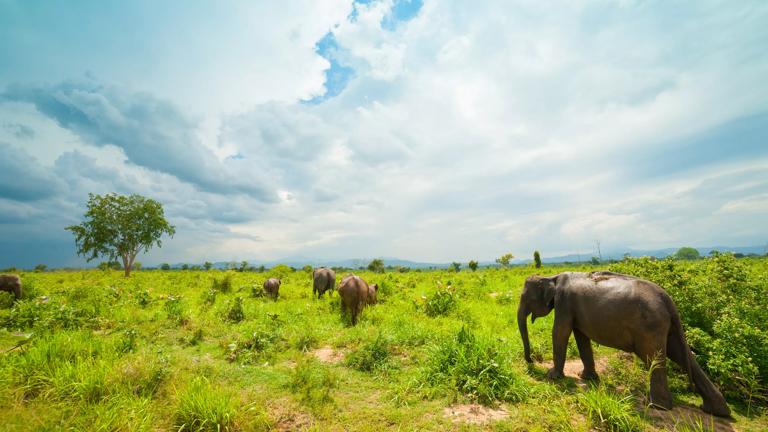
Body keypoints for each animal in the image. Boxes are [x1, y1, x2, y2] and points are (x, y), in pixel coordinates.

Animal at [520, 272, 728, 416]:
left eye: (527, 299)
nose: (531, 362)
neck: (552, 278)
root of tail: (668, 300)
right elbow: (581, 338)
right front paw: (587, 378)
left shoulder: (564, 303)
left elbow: (560, 333)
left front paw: (552, 376)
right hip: (665, 327)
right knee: (682, 356)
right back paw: (716, 411)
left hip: (649, 327)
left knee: (654, 359)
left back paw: (656, 406)